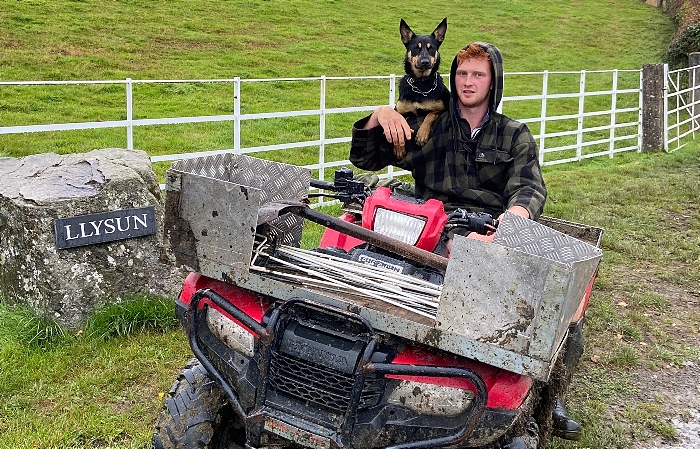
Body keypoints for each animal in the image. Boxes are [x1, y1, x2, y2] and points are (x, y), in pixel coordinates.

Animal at [394, 18, 448, 161]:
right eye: (415, 48)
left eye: (431, 48)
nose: (425, 62)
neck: (420, 85)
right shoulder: (398, 110)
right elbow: (398, 122)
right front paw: (399, 148)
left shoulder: (441, 109)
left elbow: (430, 115)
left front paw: (421, 135)